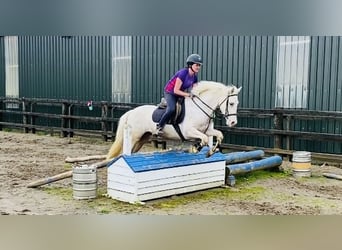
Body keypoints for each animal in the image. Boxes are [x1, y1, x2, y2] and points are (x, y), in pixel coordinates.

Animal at [105, 81, 242, 159]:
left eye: (237, 103)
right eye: (231, 104)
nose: (233, 123)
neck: (199, 108)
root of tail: (131, 112)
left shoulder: (207, 131)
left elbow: (219, 135)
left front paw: (211, 152)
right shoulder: (189, 131)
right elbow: (203, 139)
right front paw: (196, 147)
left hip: (142, 139)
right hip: (134, 137)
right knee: (124, 152)